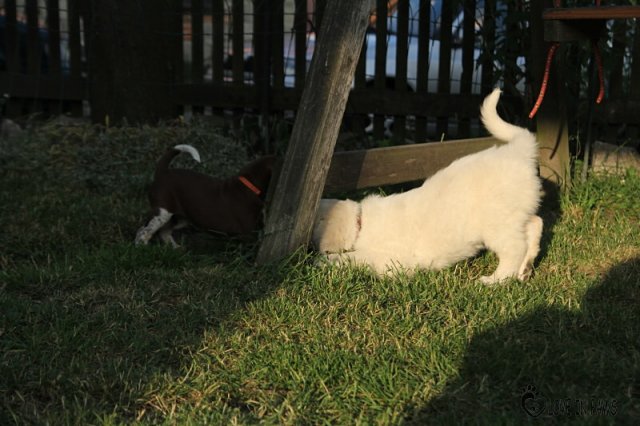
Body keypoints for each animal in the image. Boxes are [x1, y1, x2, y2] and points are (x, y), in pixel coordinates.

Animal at [135, 144, 276, 247]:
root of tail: (162, 172)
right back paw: (141, 247)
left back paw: (176, 249)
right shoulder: (246, 231)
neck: (250, 184)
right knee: (143, 231)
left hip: (181, 217)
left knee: (164, 232)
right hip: (163, 211)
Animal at [312, 88, 543, 283]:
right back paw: (525, 269)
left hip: (497, 222)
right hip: (514, 215)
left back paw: (496, 279)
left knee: (514, 248)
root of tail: (518, 150)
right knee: (535, 224)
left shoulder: (390, 261)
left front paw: (322, 262)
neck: (361, 223)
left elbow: (352, 257)